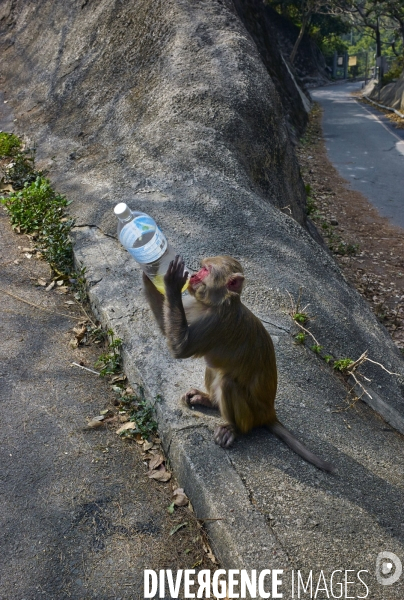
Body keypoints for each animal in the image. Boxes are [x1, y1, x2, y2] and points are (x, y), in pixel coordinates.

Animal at [144, 254, 336, 474]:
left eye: (206, 270)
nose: (193, 276)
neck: (216, 304)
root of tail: (268, 414)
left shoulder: (216, 322)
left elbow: (181, 348)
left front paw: (171, 282)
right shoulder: (195, 305)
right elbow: (166, 327)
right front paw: (146, 275)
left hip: (251, 414)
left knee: (227, 382)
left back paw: (234, 429)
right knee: (214, 368)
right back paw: (209, 400)